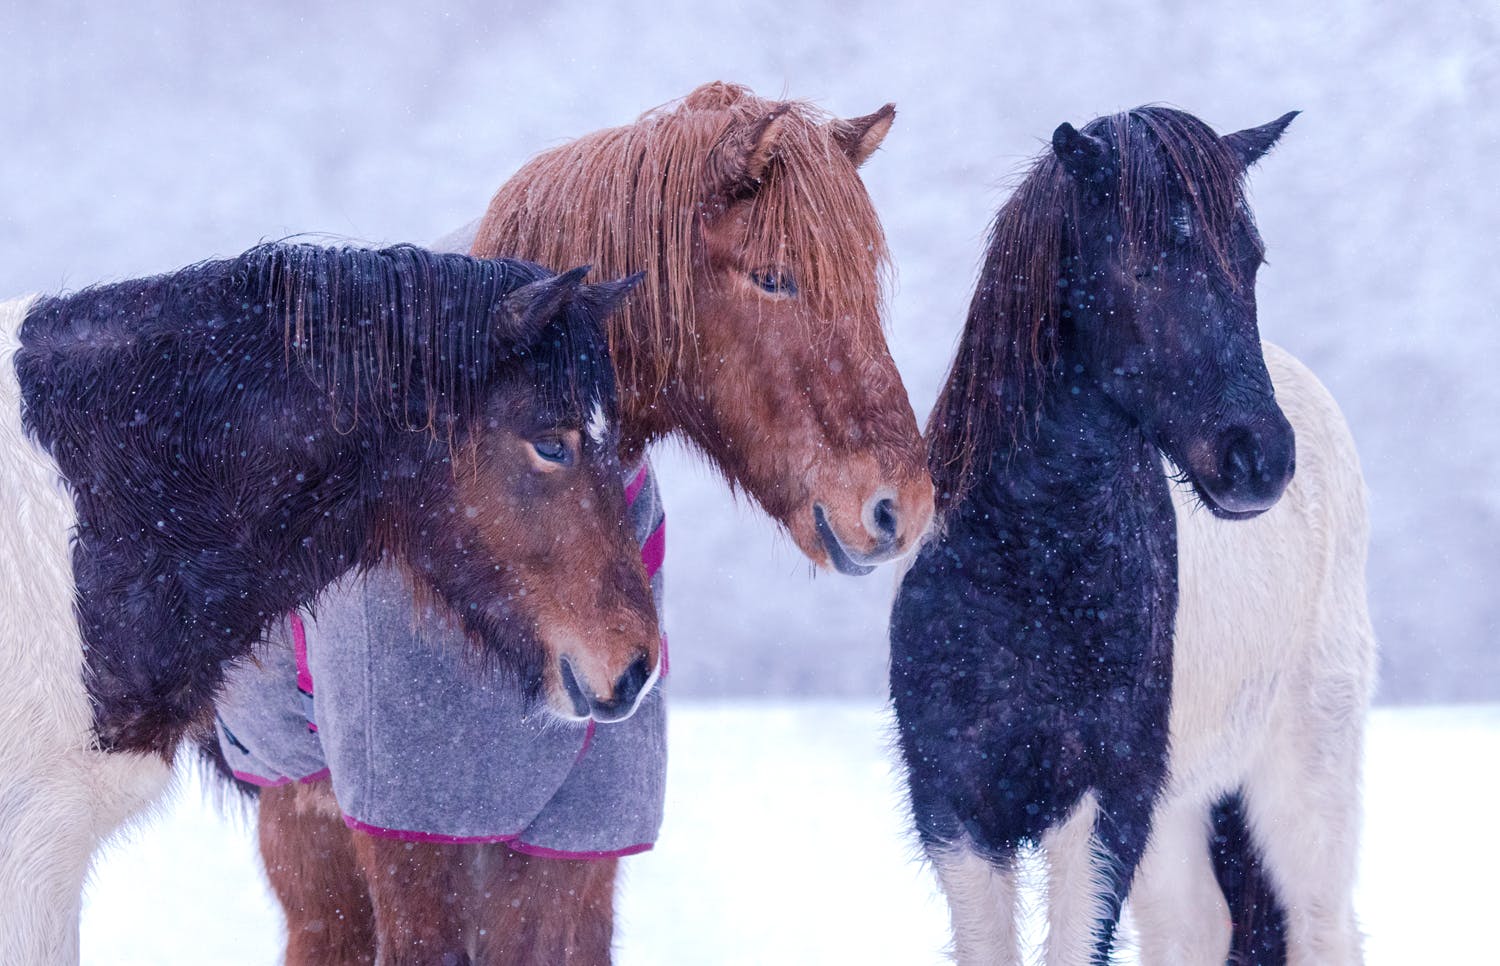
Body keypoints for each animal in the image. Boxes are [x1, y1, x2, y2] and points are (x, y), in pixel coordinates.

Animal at [888, 107, 1350, 966]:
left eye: (1250, 262)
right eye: (1139, 269)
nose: (1260, 459)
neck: (1035, 567)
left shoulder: (1110, 806)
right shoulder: (957, 811)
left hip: (1306, 767)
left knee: (1322, 921)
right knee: (1195, 927)